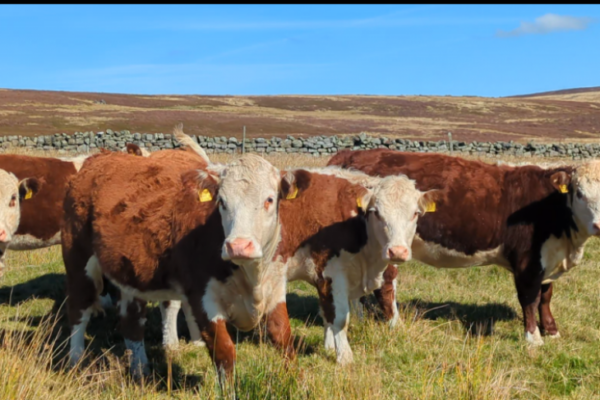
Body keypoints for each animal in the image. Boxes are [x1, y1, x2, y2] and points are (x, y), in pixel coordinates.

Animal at [326, 148, 600, 346]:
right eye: (579, 193)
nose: (599, 224)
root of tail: (352, 154)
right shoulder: (527, 261)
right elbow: (529, 299)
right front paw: (533, 339)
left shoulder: (548, 256)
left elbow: (546, 295)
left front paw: (551, 330)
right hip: (391, 246)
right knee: (386, 283)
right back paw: (396, 324)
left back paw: (358, 317)